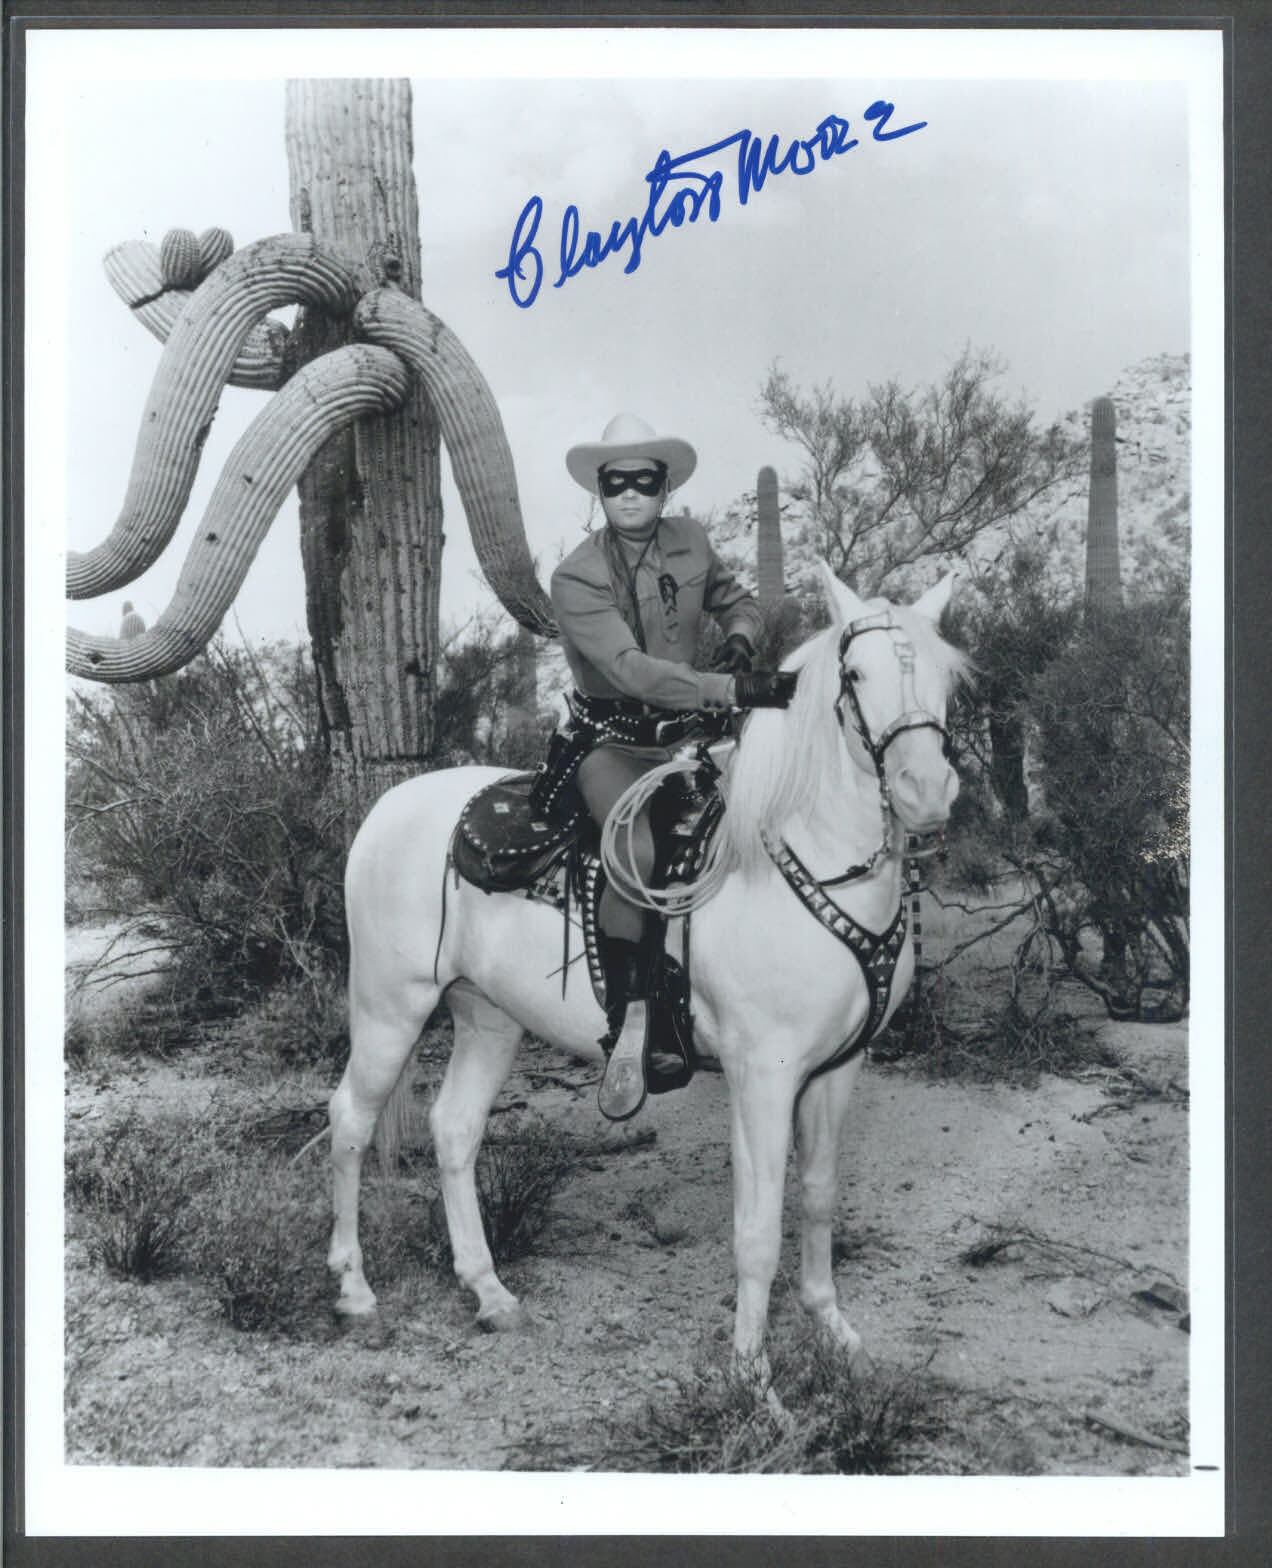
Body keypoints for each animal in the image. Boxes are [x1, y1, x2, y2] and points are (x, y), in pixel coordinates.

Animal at [327, 570, 966, 1379]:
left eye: (947, 676)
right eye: (855, 676)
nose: (927, 790)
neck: (804, 858)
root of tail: (387, 804)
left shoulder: (839, 1068)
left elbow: (819, 1197)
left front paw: (831, 1328)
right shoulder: (763, 1074)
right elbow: (758, 1228)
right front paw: (751, 1374)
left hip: (488, 1017)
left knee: (455, 1128)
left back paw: (488, 1289)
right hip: (390, 1007)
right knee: (350, 1119)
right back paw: (354, 1291)